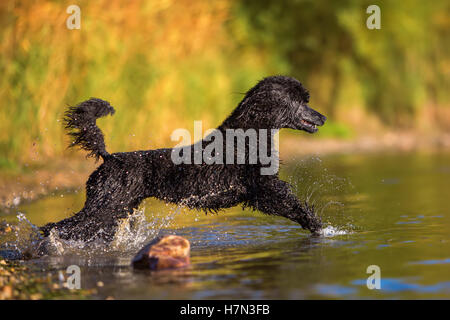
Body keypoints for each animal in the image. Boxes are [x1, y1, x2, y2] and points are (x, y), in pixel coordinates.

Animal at [40, 76, 326, 241]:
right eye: (301, 101)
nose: (322, 117)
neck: (248, 135)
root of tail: (108, 158)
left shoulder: (258, 193)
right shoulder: (264, 188)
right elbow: (293, 205)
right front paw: (320, 227)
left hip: (117, 209)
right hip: (105, 207)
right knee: (60, 227)